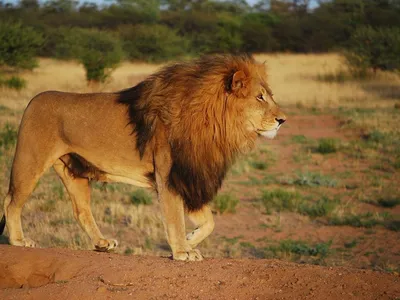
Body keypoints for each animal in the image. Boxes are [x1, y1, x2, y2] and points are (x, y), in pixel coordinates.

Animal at [0, 54, 288, 260]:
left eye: (269, 96)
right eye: (260, 97)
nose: (283, 120)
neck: (216, 125)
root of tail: (33, 99)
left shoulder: (189, 176)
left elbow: (210, 222)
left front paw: (190, 240)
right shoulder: (169, 174)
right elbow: (174, 217)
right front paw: (181, 251)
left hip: (74, 171)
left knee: (81, 211)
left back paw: (102, 244)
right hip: (30, 161)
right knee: (11, 201)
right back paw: (19, 240)